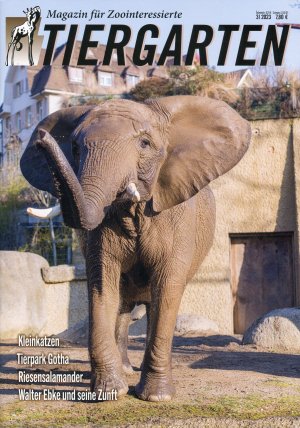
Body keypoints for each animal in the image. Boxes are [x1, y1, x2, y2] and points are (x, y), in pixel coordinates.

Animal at [19, 95, 251, 400]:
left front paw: (156, 397)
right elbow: (101, 283)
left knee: (151, 305)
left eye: (144, 144)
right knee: (123, 305)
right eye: (75, 148)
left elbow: (167, 286)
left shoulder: (176, 215)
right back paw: (126, 370)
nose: (42, 139)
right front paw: (108, 393)